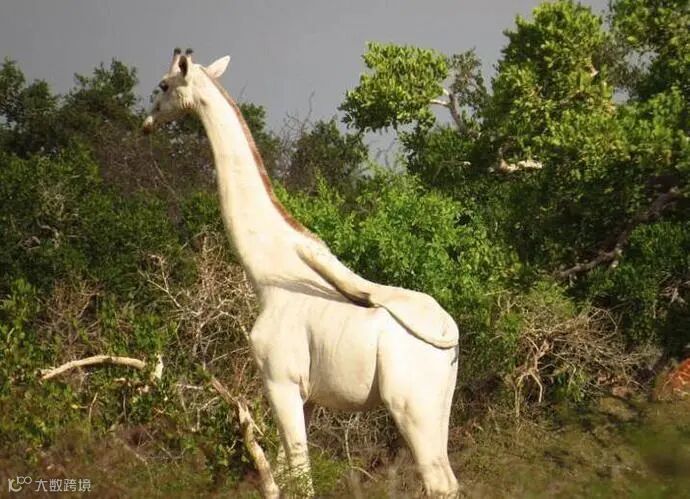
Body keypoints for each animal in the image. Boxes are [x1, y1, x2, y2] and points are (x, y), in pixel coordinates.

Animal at [143, 49, 460, 497]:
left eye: (164, 85)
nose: (146, 122)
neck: (269, 275)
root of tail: (450, 333)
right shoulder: (304, 395)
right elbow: (282, 476)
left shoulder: (280, 380)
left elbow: (301, 475)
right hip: (440, 403)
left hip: (410, 404)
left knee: (437, 481)